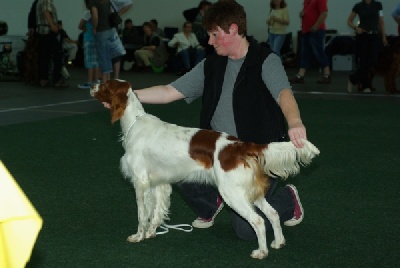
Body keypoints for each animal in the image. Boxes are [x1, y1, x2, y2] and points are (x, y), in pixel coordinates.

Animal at [90, 80, 318, 260]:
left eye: (105, 85)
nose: (92, 85)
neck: (134, 123)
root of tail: (241, 145)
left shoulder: (141, 182)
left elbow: (142, 214)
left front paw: (138, 236)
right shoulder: (159, 184)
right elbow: (155, 213)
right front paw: (151, 233)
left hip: (232, 193)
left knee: (258, 221)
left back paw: (261, 252)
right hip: (250, 192)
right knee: (272, 214)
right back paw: (278, 242)